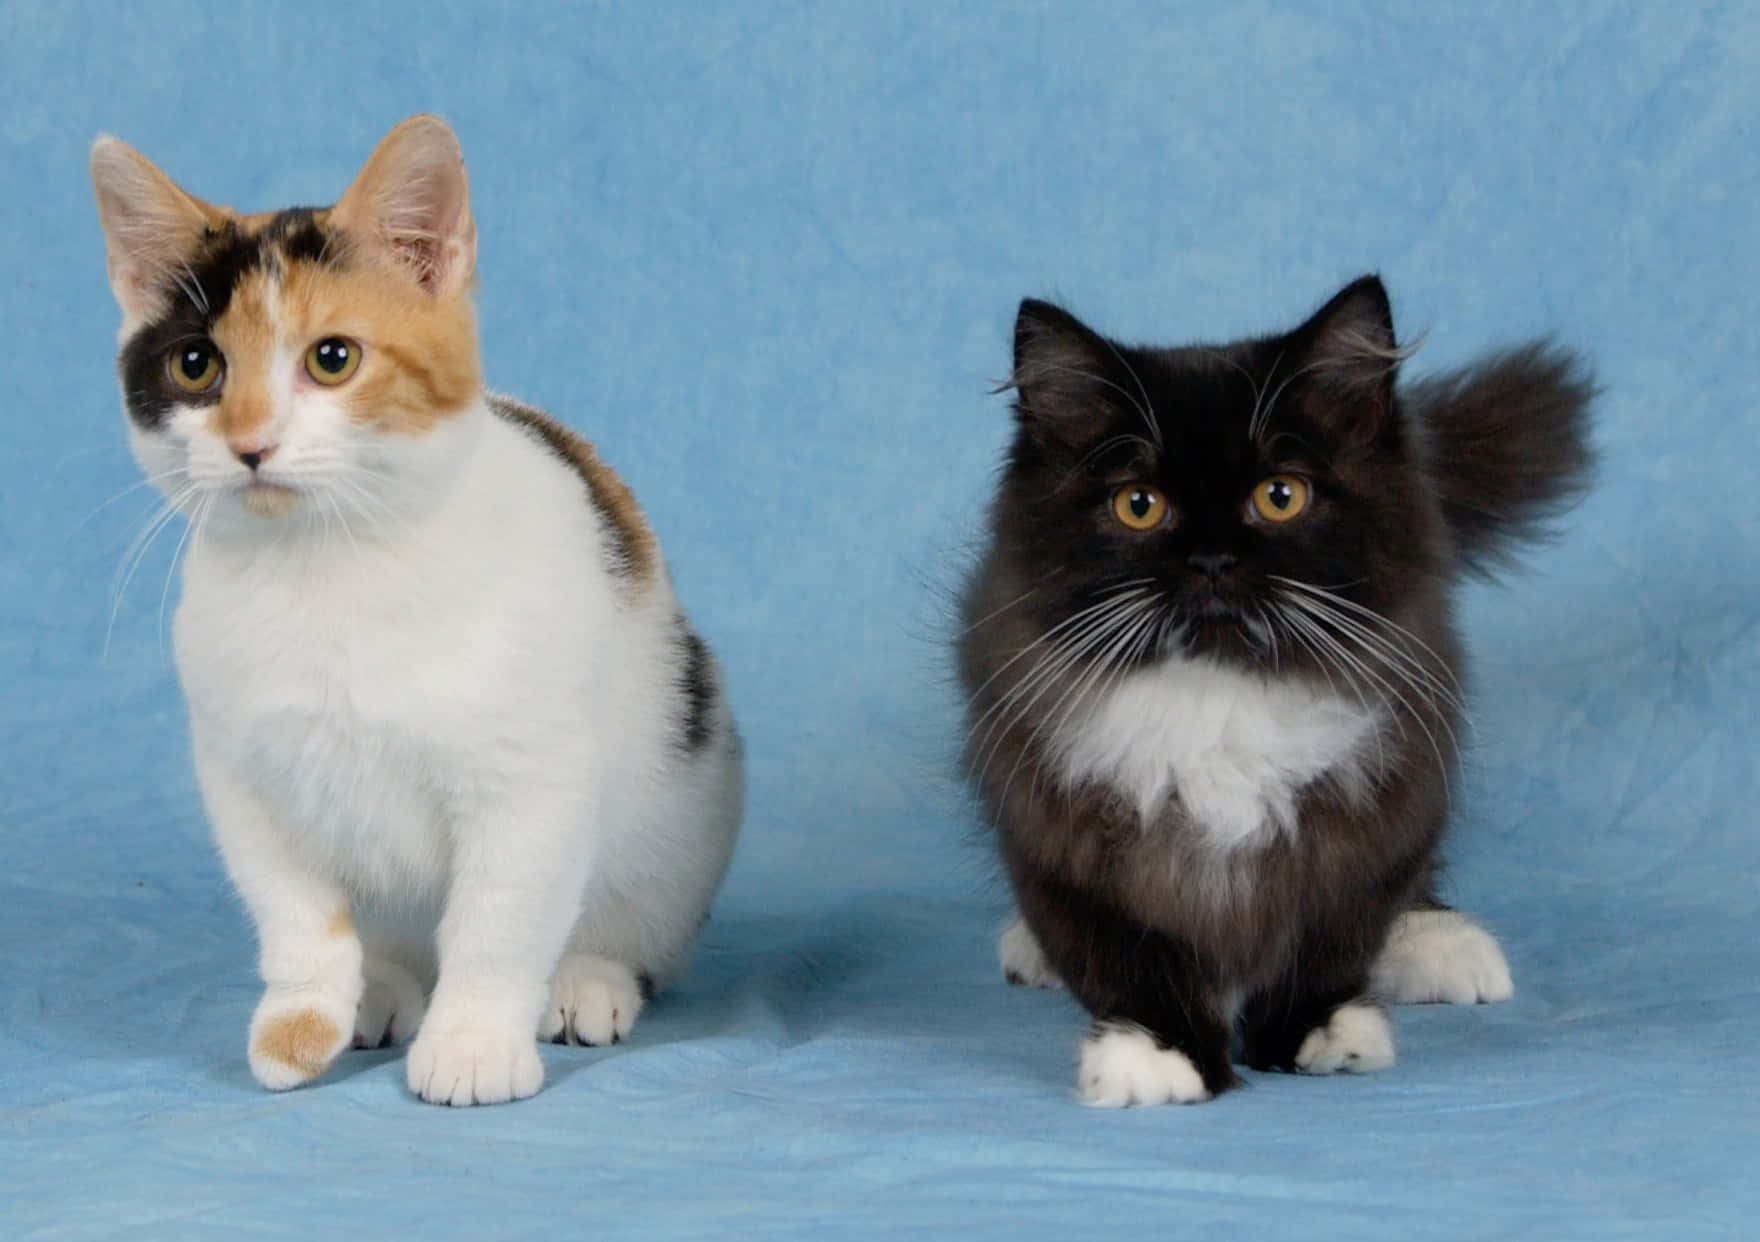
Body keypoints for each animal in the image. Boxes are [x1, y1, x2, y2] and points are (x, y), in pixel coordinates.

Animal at [92, 116, 739, 1104]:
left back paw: (585, 980)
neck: (328, 567)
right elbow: (295, 914)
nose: (250, 444)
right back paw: (383, 989)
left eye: (332, 358)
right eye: (196, 365)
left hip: (687, 795)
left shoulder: (530, 780)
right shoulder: (241, 775)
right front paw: (300, 1022)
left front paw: (472, 1043)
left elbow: (498, 919)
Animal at [964, 281, 1598, 1104]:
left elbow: (1333, 937)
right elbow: (1122, 953)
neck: (1219, 701)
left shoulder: (1376, 814)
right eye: (1139, 504)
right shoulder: (1060, 836)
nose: (1211, 560)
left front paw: (1315, 1032)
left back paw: (1440, 942)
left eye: (1280, 496)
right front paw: (1157, 1054)